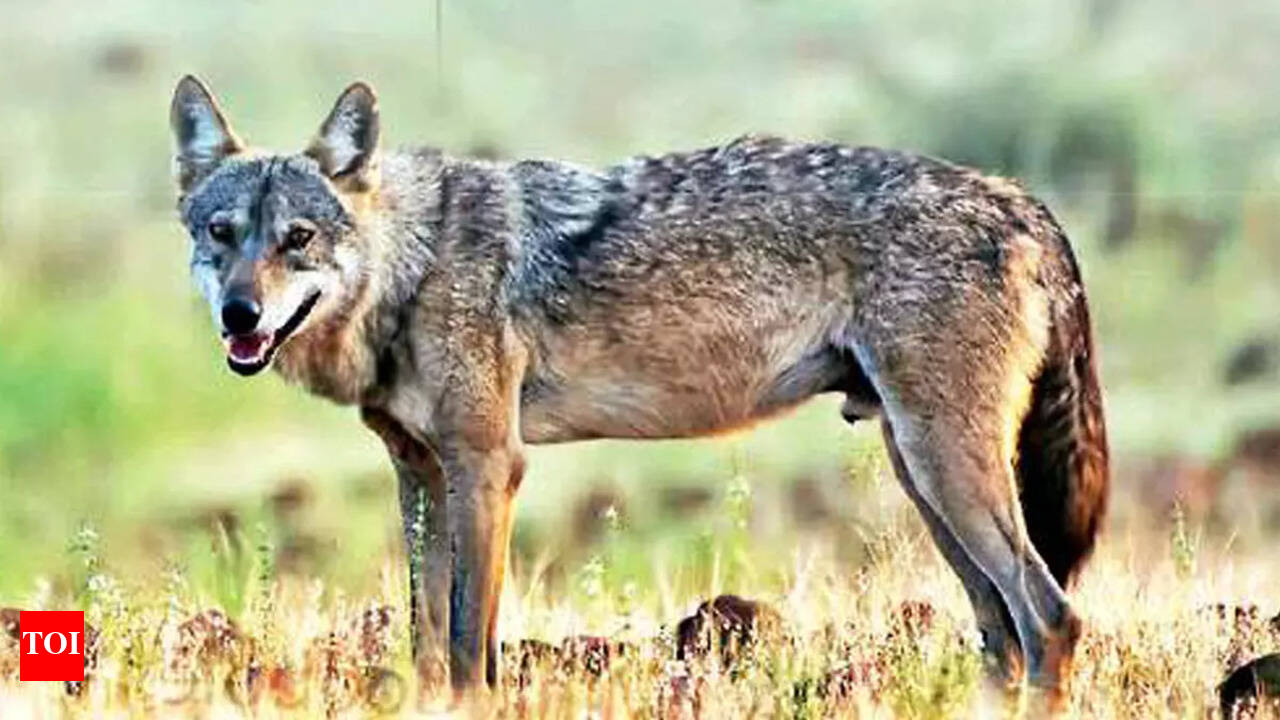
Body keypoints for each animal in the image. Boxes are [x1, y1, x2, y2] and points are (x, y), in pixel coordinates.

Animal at [169, 75, 1108, 702]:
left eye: (298, 238)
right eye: (221, 234)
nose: (239, 314)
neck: (417, 264)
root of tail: (1019, 199)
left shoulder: (489, 466)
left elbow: (471, 642)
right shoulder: (421, 474)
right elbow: (427, 637)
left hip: (944, 468)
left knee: (1050, 618)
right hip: (924, 475)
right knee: (1001, 633)